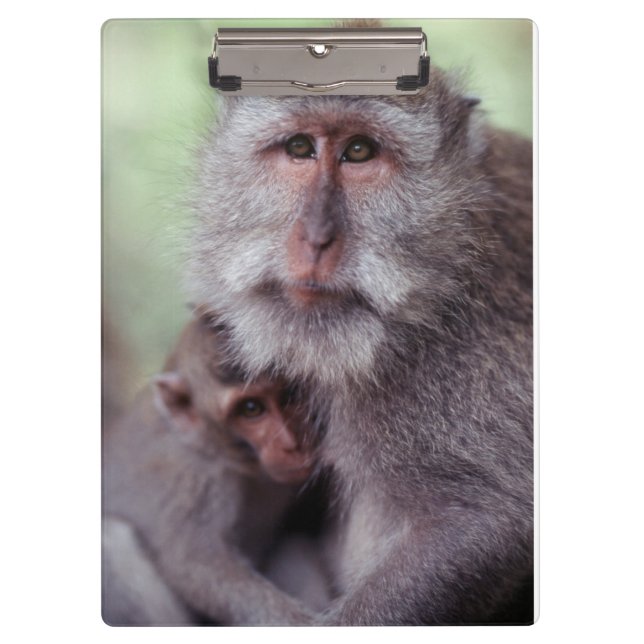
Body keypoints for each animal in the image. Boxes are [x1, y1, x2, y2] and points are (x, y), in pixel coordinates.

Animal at [102, 313, 326, 625]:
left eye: (290, 394)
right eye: (251, 408)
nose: (292, 444)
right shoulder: (193, 475)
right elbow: (196, 565)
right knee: (112, 540)